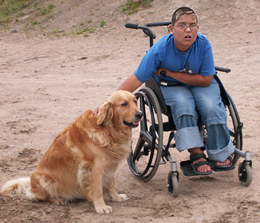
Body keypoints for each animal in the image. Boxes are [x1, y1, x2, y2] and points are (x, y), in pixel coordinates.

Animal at [0, 90, 142, 214]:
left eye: (135, 101)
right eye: (124, 104)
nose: (140, 114)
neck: (108, 131)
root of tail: (31, 184)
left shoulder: (110, 165)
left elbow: (111, 184)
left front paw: (116, 197)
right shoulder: (94, 169)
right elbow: (97, 190)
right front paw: (101, 207)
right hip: (46, 179)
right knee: (42, 196)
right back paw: (59, 200)